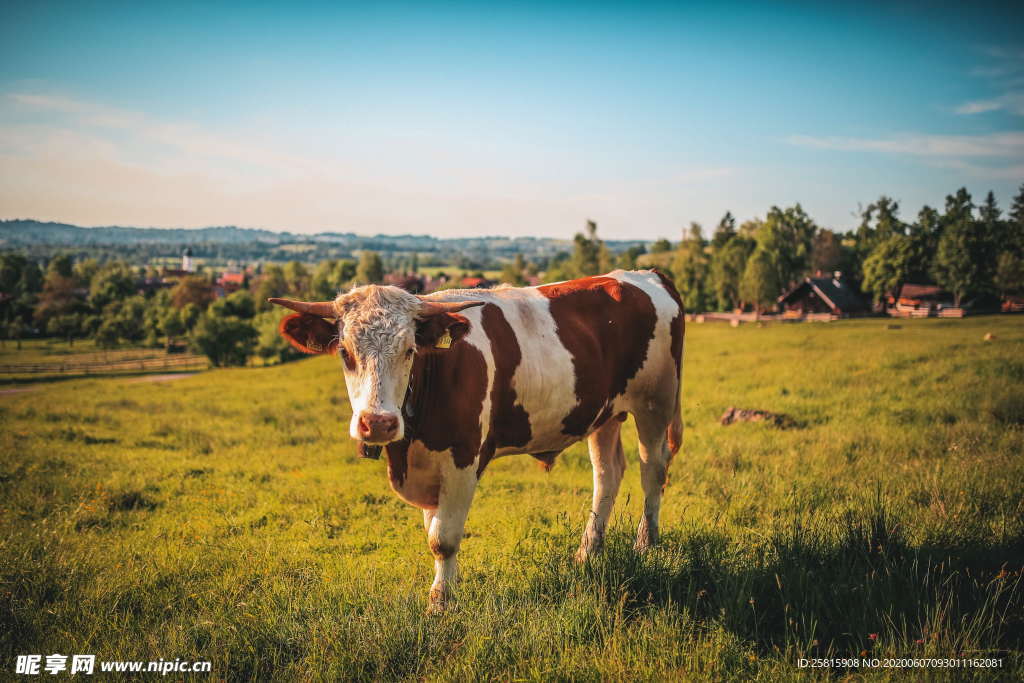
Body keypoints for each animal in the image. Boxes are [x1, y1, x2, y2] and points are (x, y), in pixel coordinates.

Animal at [272, 270, 684, 610]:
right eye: (345, 352)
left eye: (409, 350)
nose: (378, 423)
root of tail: (644, 274)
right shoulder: (429, 470)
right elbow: (433, 530)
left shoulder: (463, 458)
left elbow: (443, 539)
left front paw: (441, 603)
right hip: (604, 414)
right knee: (607, 474)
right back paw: (588, 552)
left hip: (656, 401)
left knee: (652, 470)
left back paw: (646, 545)